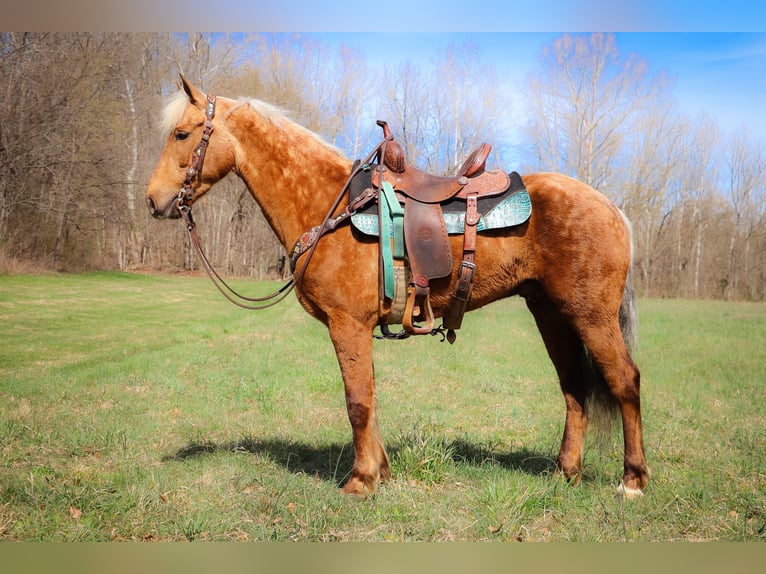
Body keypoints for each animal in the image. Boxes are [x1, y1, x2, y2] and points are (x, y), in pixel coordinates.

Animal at [146, 76, 656, 500]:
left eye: (182, 134)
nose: (153, 200)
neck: (328, 205)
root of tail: (611, 207)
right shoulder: (355, 328)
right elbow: (368, 398)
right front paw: (380, 471)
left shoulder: (347, 324)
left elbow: (356, 402)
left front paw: (360, 480)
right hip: (551, 314)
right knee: (574, 388)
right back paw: (565, 473)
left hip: (590, 315)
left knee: (624, 381)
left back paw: (632, 480)